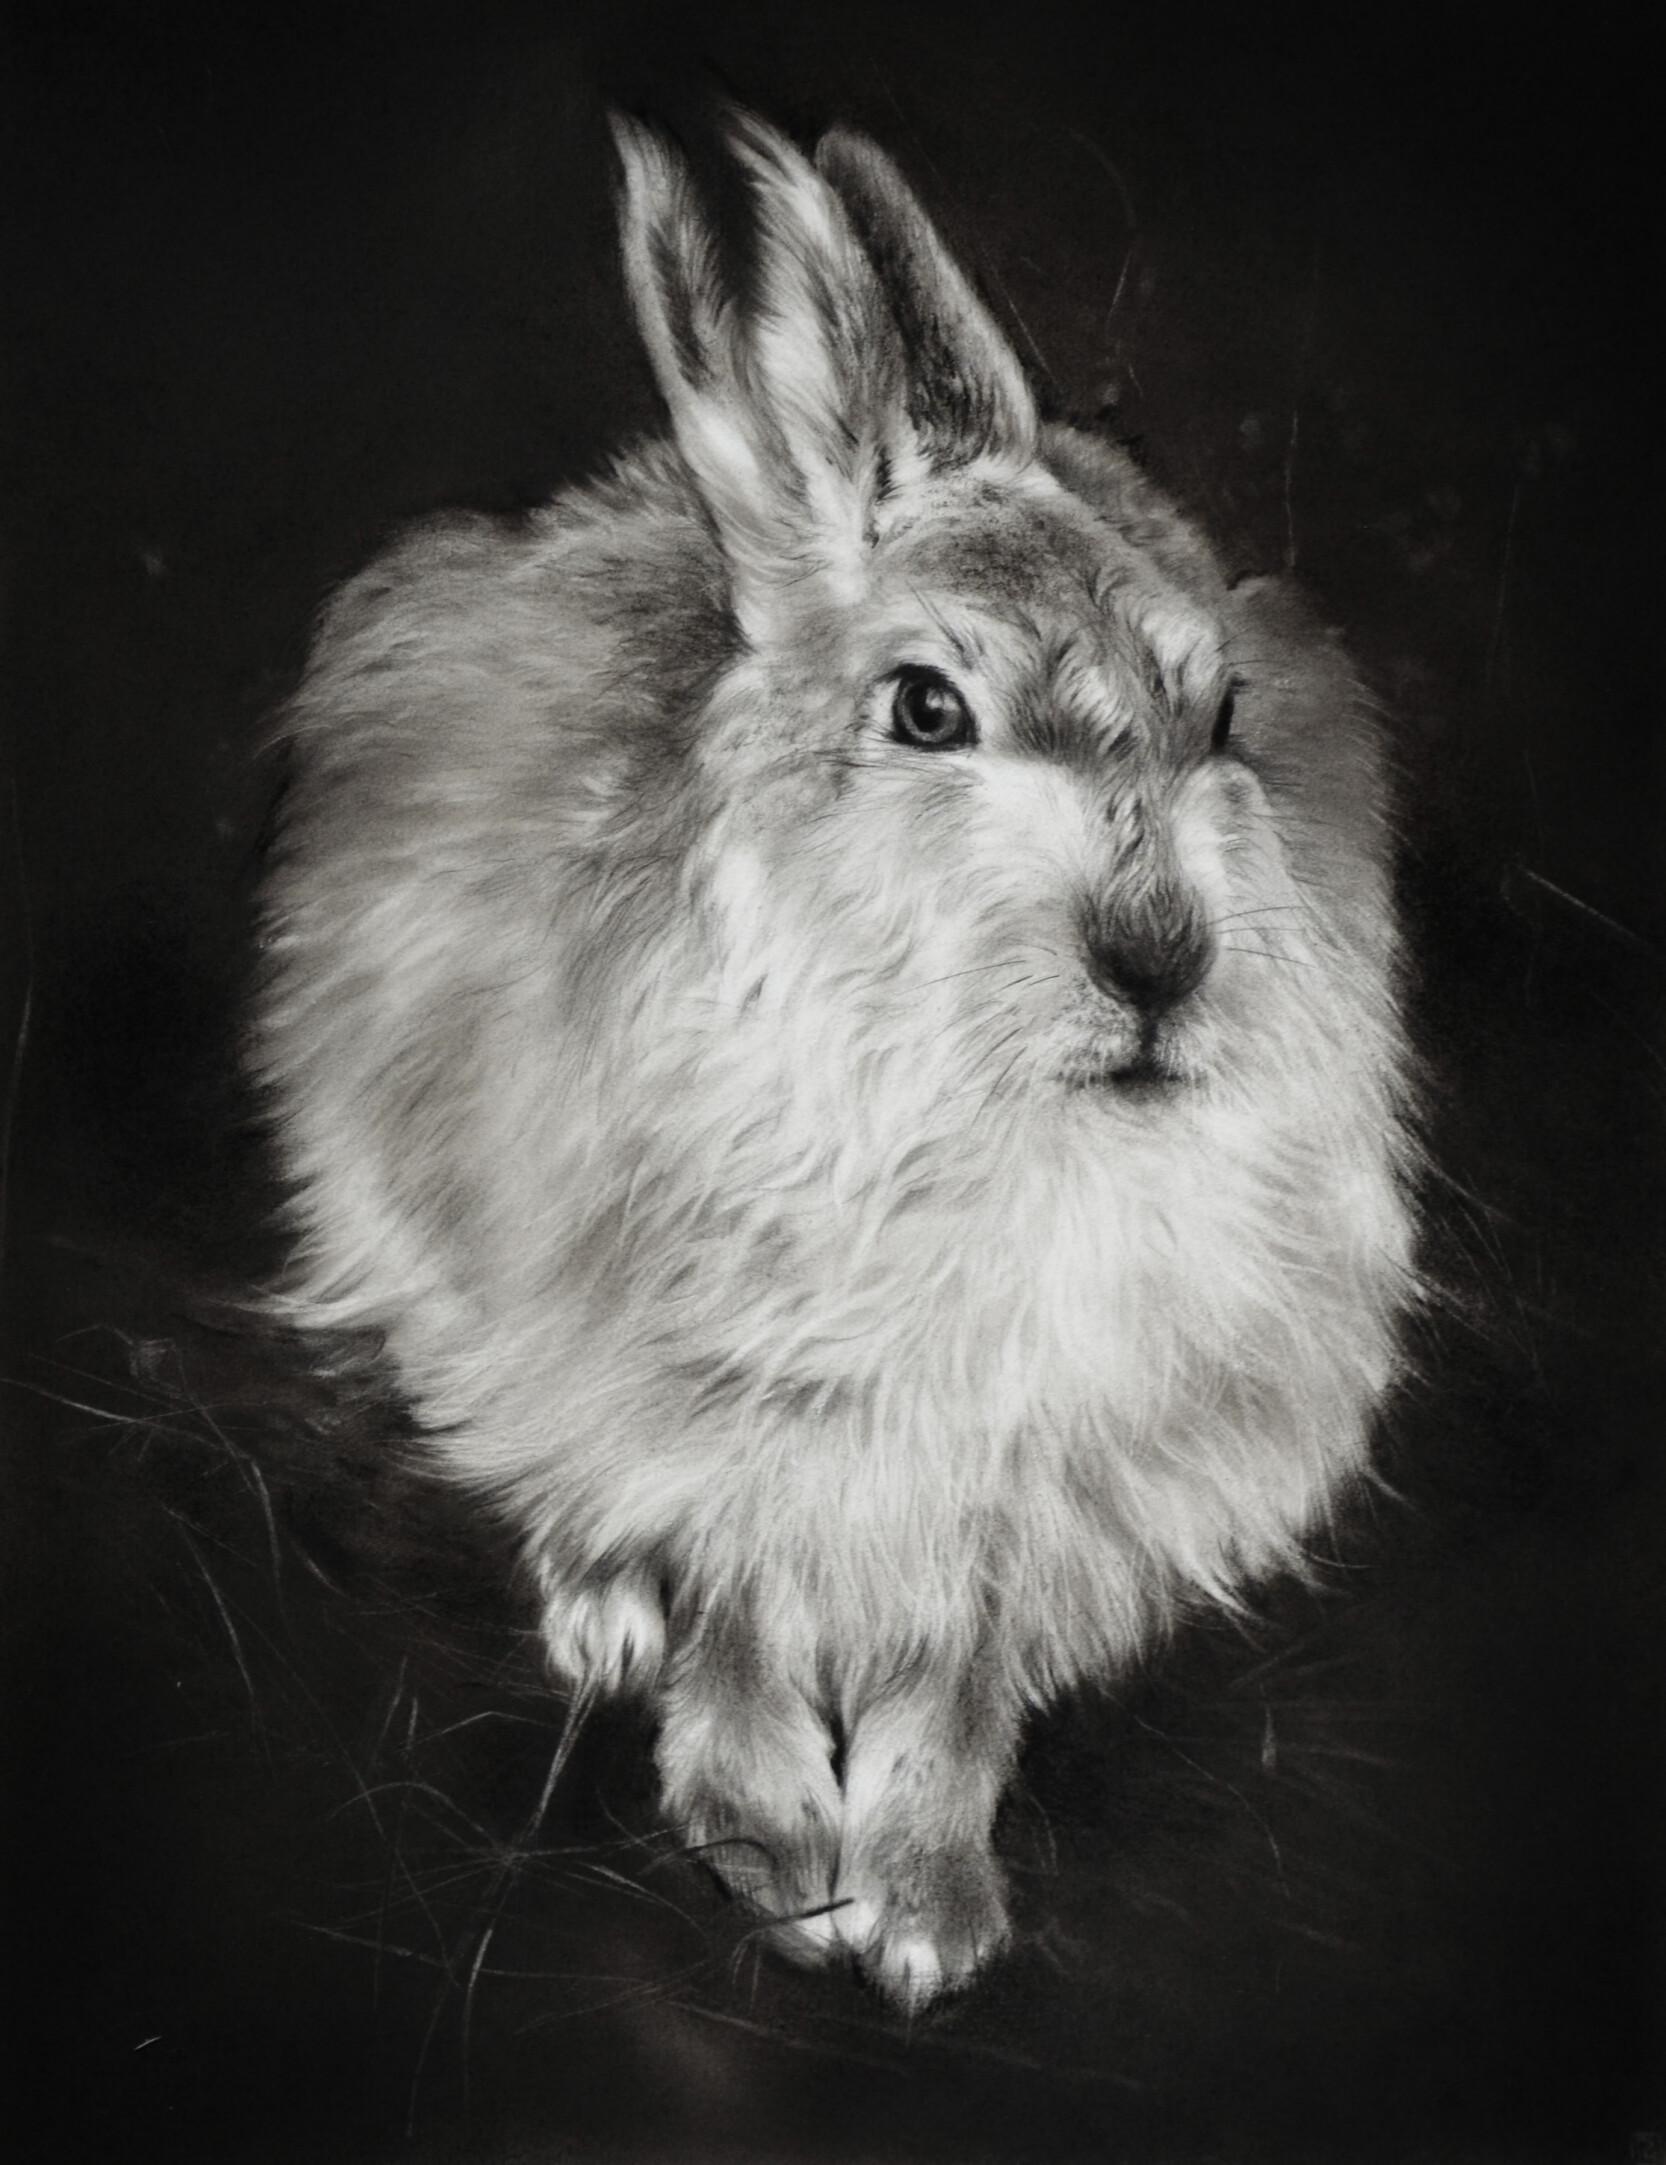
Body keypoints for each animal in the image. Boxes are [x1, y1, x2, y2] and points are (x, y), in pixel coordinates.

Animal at [250, 106, 1421, 2009]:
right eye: (925, 709)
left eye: (1223, 713)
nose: (1159, 961)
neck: (969, 1105)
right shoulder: (708, 1400)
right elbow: (734, 1598)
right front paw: (773, 1845)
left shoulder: (1016, 1482)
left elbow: (960, 1684)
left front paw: (929, 1904)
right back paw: (598, 1610)